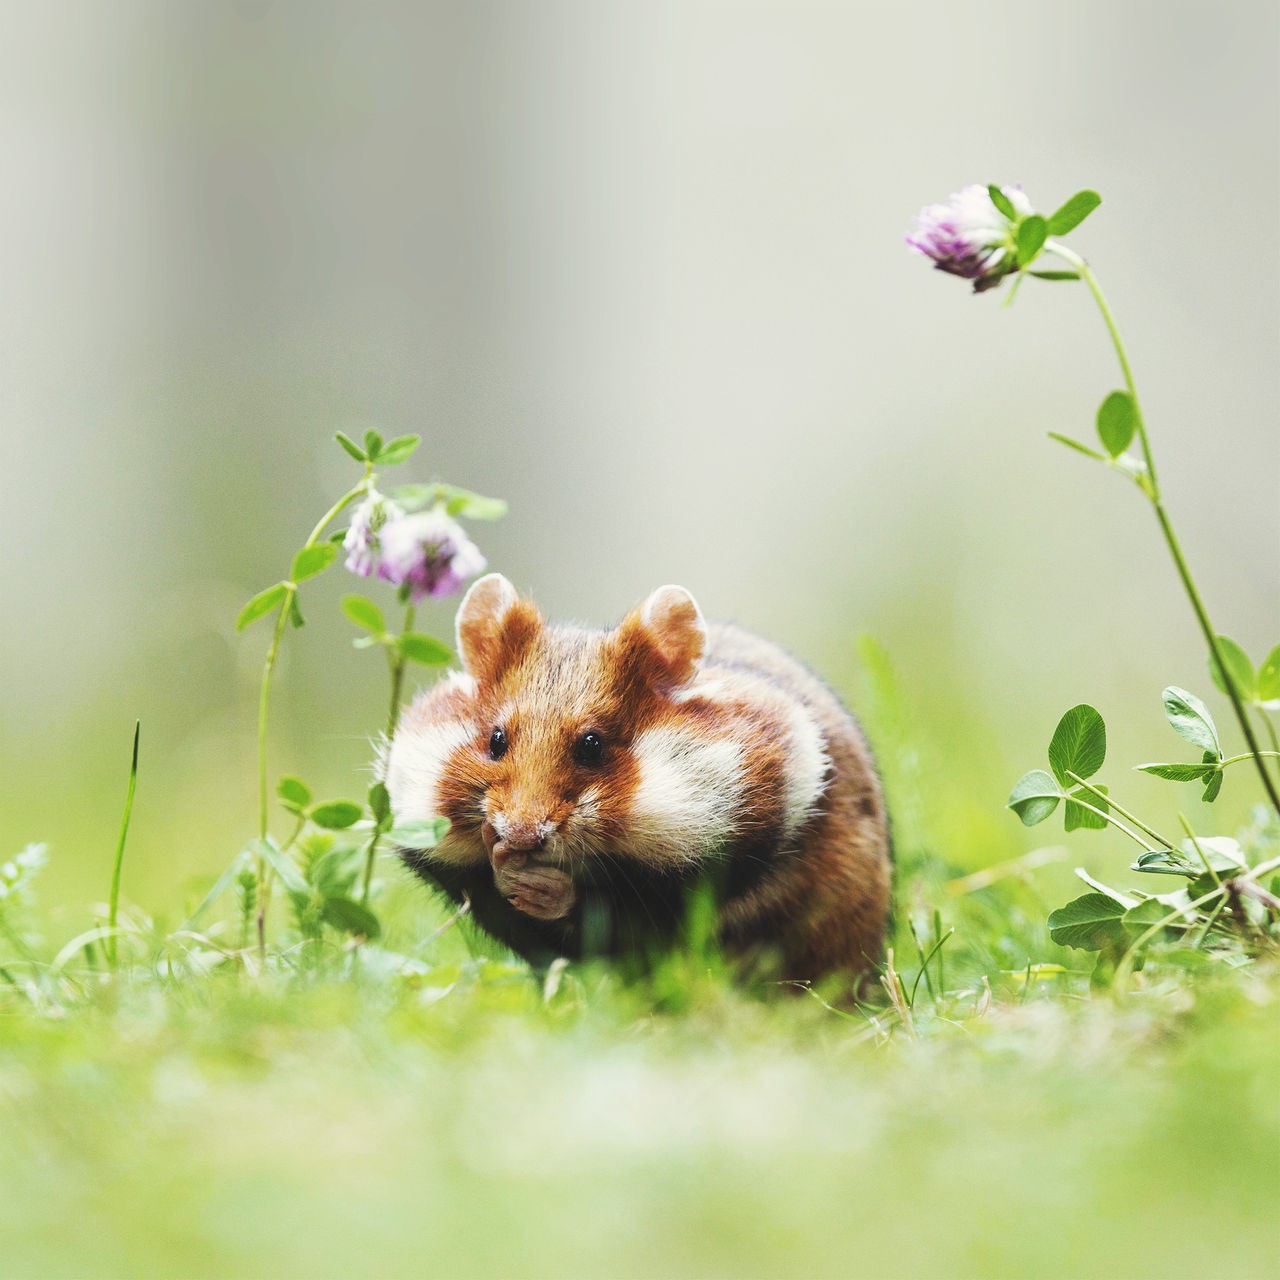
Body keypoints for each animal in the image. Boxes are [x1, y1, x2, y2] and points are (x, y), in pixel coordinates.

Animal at [384, 576, 896, 983]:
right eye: (495, 740)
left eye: (592, 745)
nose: (521, 835)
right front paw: (504, 864)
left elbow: (621, 906)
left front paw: (537, 885)